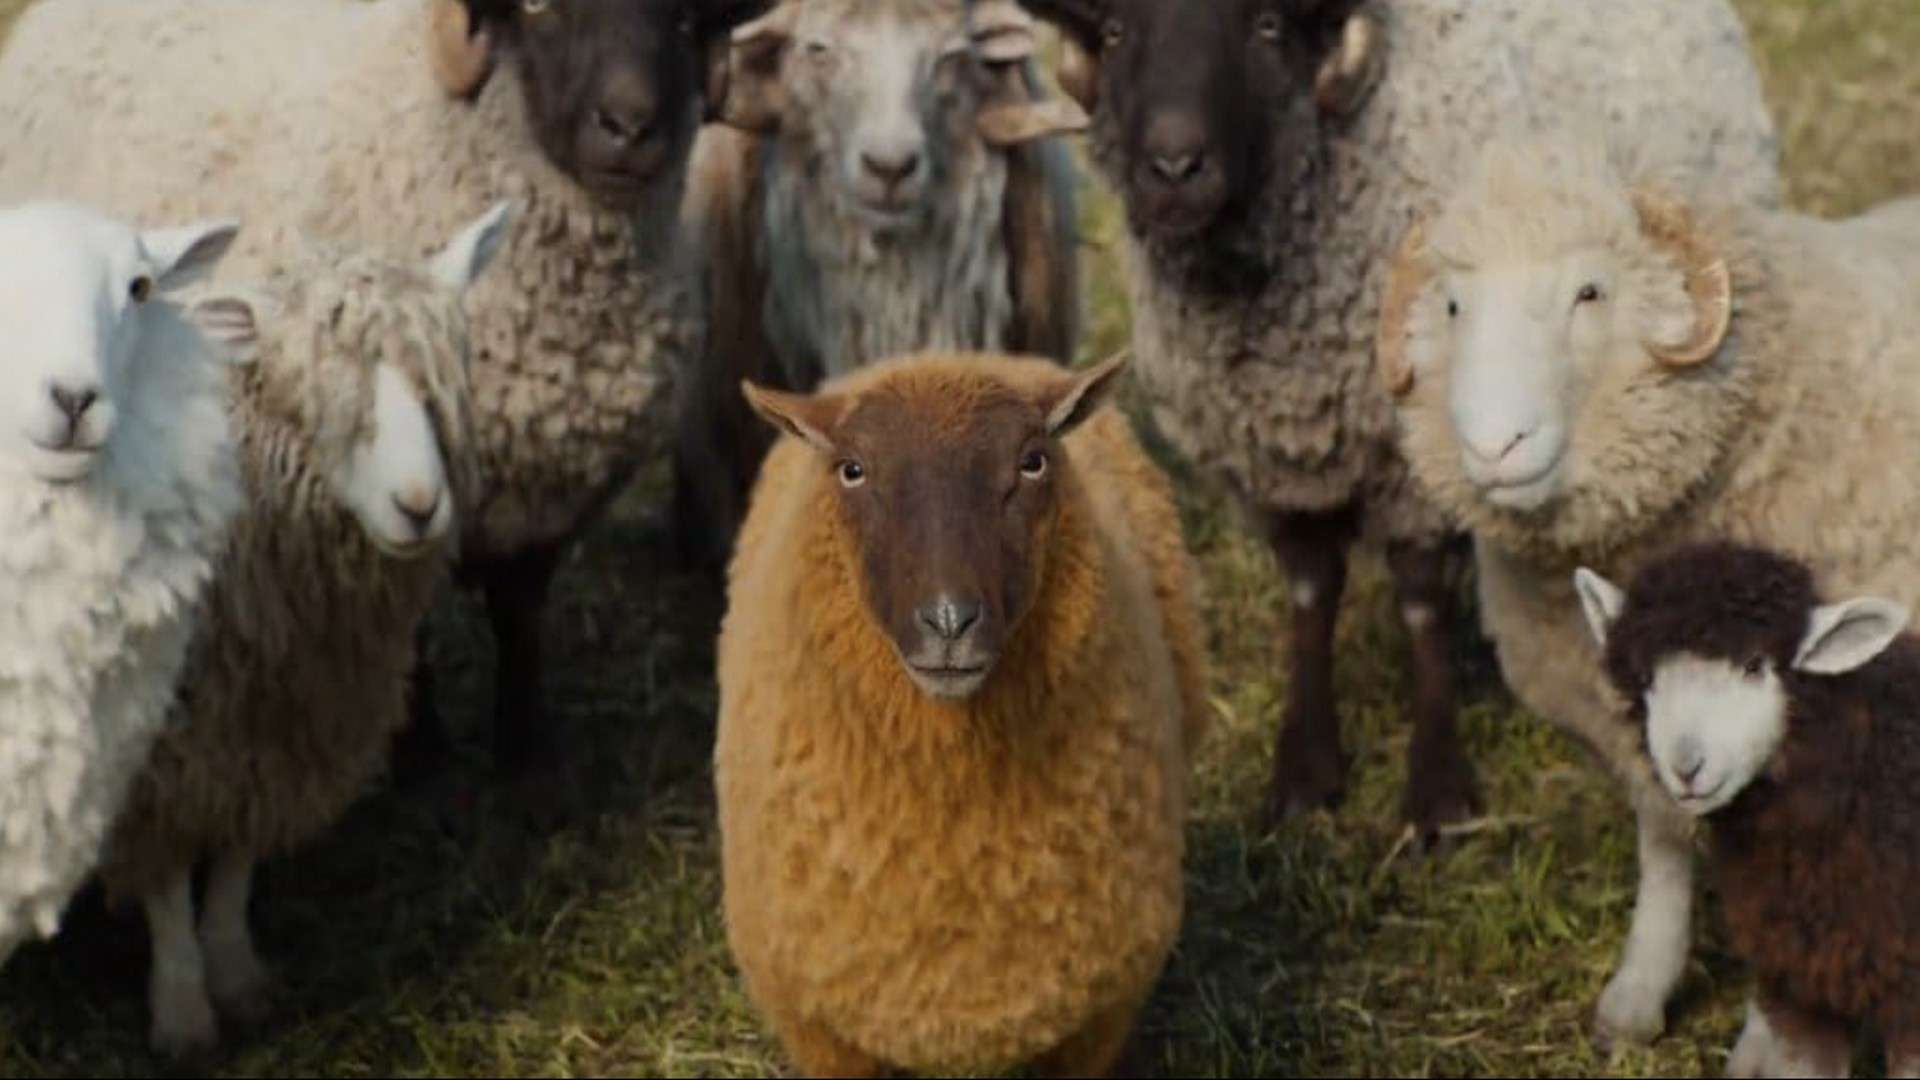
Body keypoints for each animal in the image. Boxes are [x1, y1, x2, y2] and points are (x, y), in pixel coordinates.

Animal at [0, 0, 772, 806]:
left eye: (682, 19)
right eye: (536, 11)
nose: (628, 127)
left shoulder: (549, 503)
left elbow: (520, 619)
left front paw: (529, 760)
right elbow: (414, 631)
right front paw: (419, 751)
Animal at [85, 203, 512, 1058]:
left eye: (443, 385)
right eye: (311, 392)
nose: (420, 505)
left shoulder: (276, 722)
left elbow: (237, 857)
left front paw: (236, 973)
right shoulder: (155, 749)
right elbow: (166, 876)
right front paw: (183, 1010)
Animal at [1007, 0, 1783, 854]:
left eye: (1267, 29)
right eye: (1114, 33)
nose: (1175, 168)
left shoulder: (1415, 460)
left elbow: (1420, 605)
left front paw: (1439, 795)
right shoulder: (1275, 467)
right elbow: (1310, 592)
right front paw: (1305, 774)